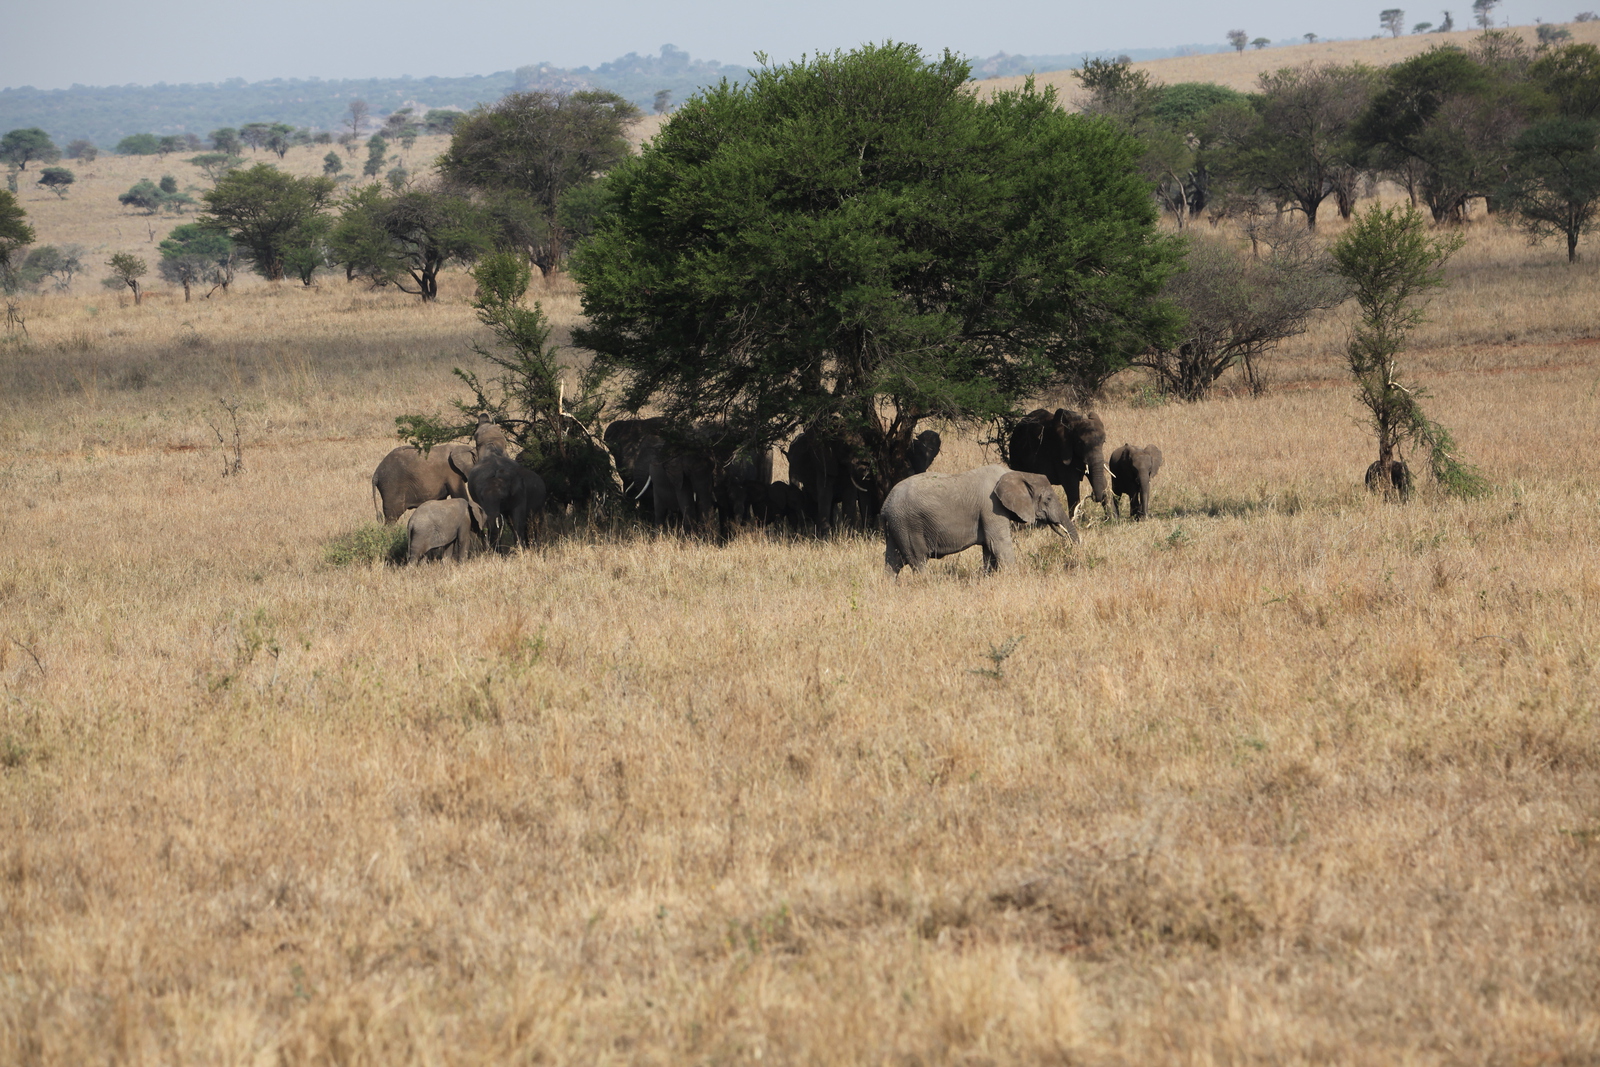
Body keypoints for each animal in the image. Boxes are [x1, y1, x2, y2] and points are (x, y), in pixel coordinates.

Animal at [883, 460, 1081, 575]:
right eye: (1048, 499)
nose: (1075, 550)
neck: (1017, 473)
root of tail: (886, 505)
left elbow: (989, 548)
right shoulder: (992, 507)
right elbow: (999, 543)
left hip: (896, 526)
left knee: (892, 562)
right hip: (908, 524)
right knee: (918, 561)